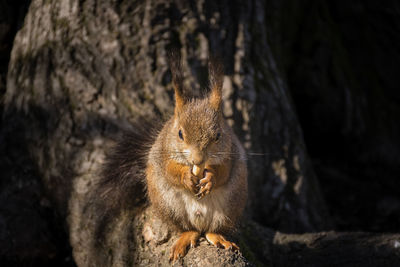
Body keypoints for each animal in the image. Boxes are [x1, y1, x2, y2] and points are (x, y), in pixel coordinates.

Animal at [95, 52, 248, 264]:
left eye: (218, 135)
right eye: (180, 133)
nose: (198, 160)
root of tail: (199, 222)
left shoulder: (231, 153)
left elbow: (223, 172)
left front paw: (210, 179)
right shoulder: (163, 152)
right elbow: (170, 170)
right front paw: (186, 177)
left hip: (229, 208)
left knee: (212, 229)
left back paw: (218, 237)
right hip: (168, 206)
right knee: (187, 229)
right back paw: (186, 236)